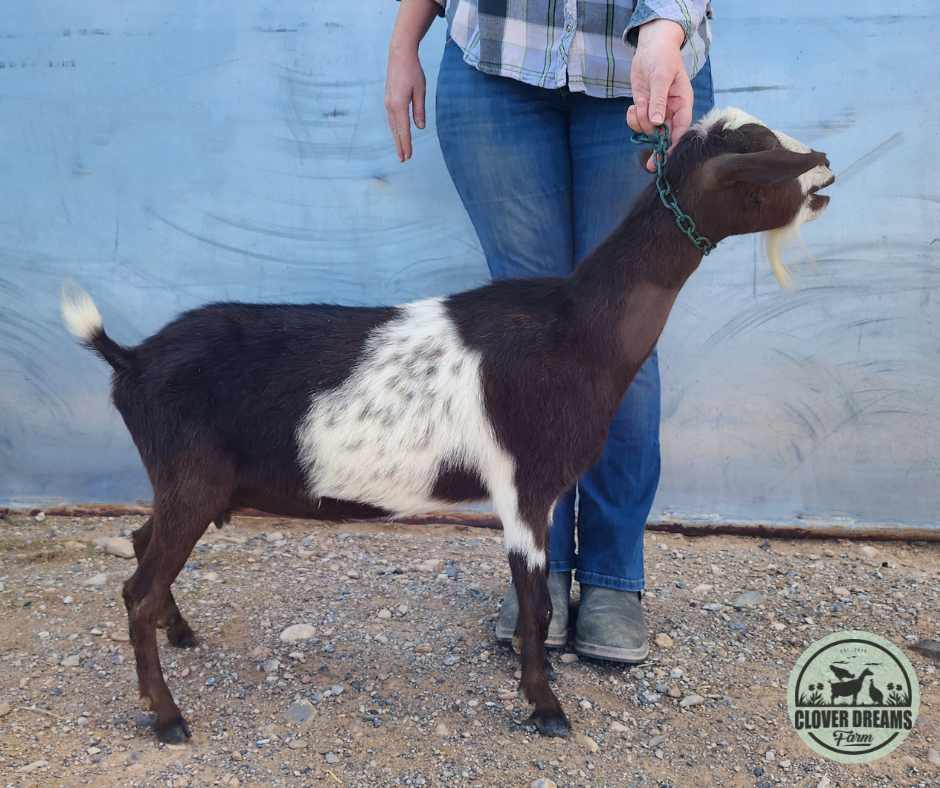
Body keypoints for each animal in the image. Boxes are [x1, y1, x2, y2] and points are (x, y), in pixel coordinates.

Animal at [61, 107, 833, 743]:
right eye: (757, 151)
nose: (825, 168)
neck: (577, 330)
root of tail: (129, 358)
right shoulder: (524, 484)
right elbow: (534, 607)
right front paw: (546, 709)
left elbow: (540, 605)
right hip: (189, 480)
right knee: (136, 592)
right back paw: (167, 717)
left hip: (184, 484)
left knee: (142, 548)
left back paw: (183, 633)